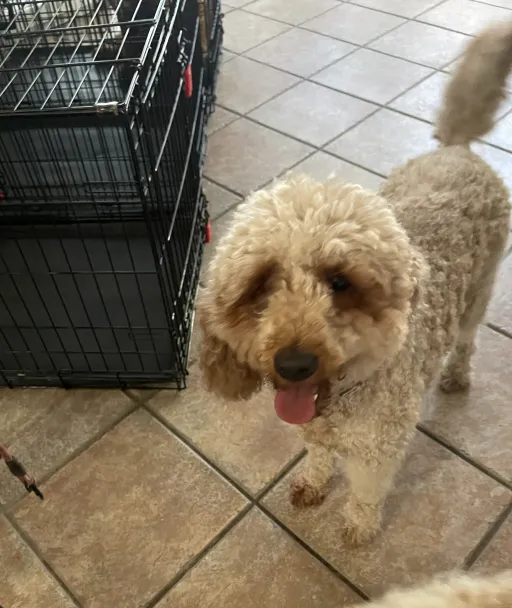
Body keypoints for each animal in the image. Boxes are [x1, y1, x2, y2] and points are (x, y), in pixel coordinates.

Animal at [198, 22, 512, 546]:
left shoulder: (376, 447)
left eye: (340, 281)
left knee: (467, 340)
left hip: (479, 294)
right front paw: (313, 482)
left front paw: (358, 526)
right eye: (261, 283)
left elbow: (365, 492)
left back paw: (456, 374)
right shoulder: (314, 429)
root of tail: (456, 149)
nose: (294, 364)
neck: (343, 393)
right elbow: (318, 456)